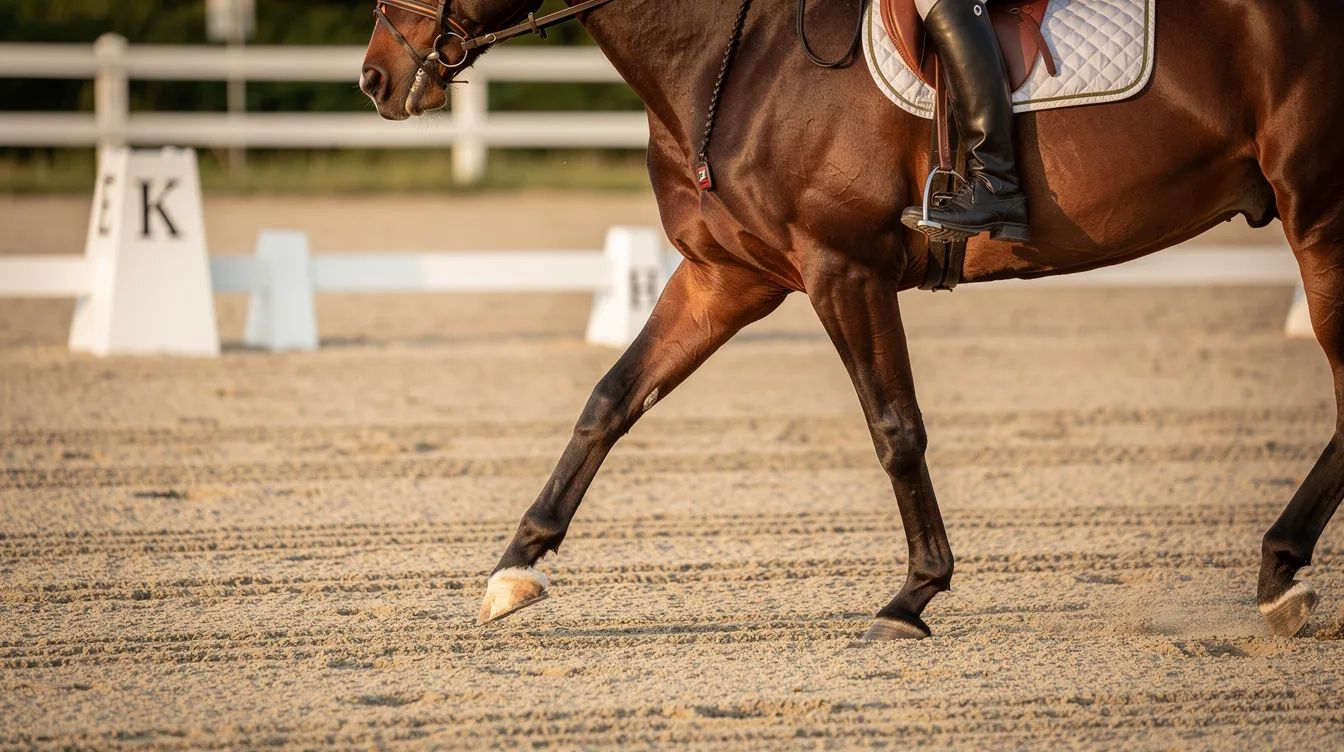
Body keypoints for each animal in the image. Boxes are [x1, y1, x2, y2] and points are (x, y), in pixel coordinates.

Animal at [359, 0, 1344, 640]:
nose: (377, 75)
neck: (735, 55)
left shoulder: (843, 270)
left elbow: (895, 429)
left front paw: (914, 596)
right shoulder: (726, 278)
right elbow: (611, 399)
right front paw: (513, 570)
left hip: (1320, 214)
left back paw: (1280, 571)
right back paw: (1278, 575)